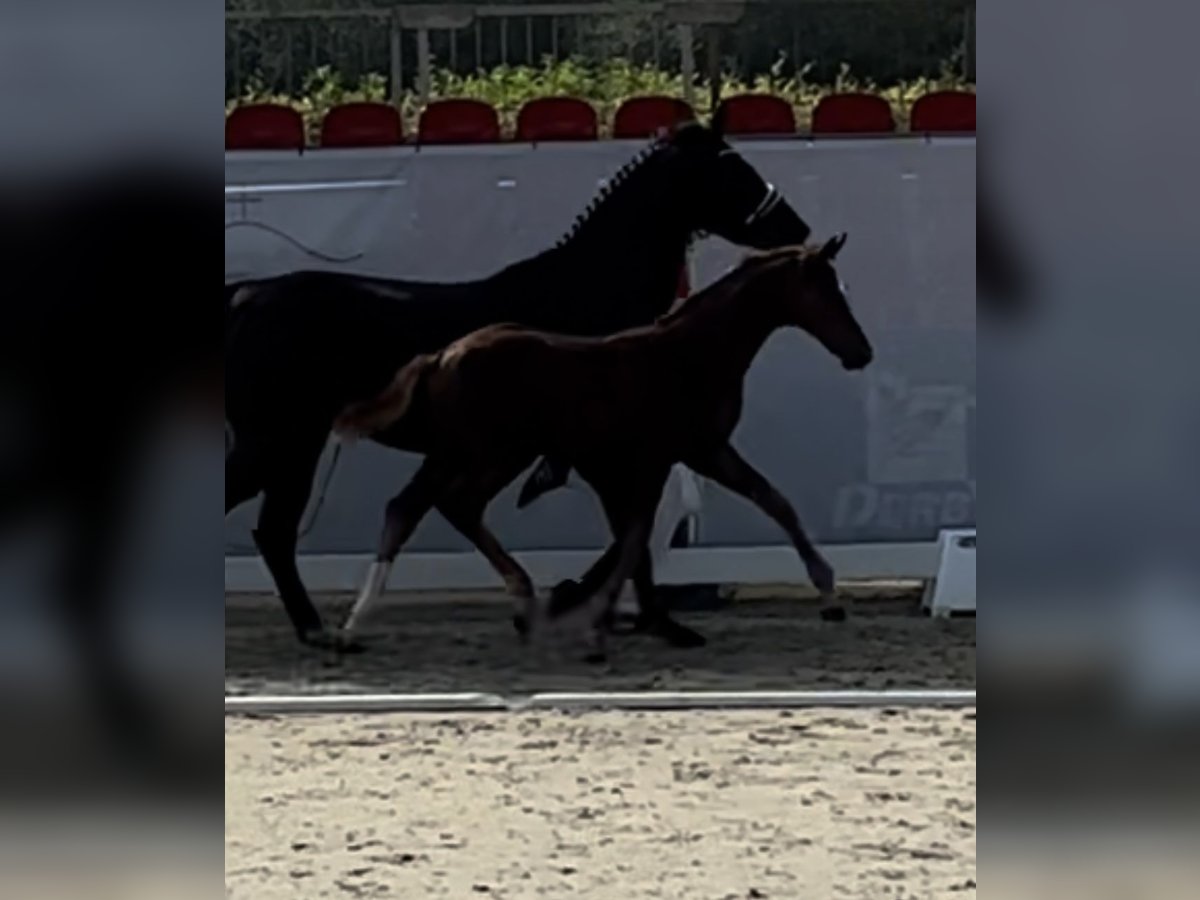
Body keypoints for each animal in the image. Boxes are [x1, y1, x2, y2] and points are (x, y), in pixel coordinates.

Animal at [223, 121, 816, 657]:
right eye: (731, 168)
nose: (797, 226)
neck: (587, 298)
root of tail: (244, 296)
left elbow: (640, 526)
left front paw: (625, 612)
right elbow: (636, 528)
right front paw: (584, 602)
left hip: (294, 448)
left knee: (274, 532)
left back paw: (319, 629)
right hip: (279, 442)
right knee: (270, 525)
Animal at [338, 237, 873, 662]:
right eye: (823, 291)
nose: (861, 353)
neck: (689, 355)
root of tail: (441, 355)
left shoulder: (703, 451)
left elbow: (772, 500)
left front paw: (829, 595)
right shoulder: (658, 459)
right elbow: (635, 538)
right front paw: (602, 629)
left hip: (467, 454)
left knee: (418, 507)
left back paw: (364, 623)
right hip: (490, 453)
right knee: (445, 505)